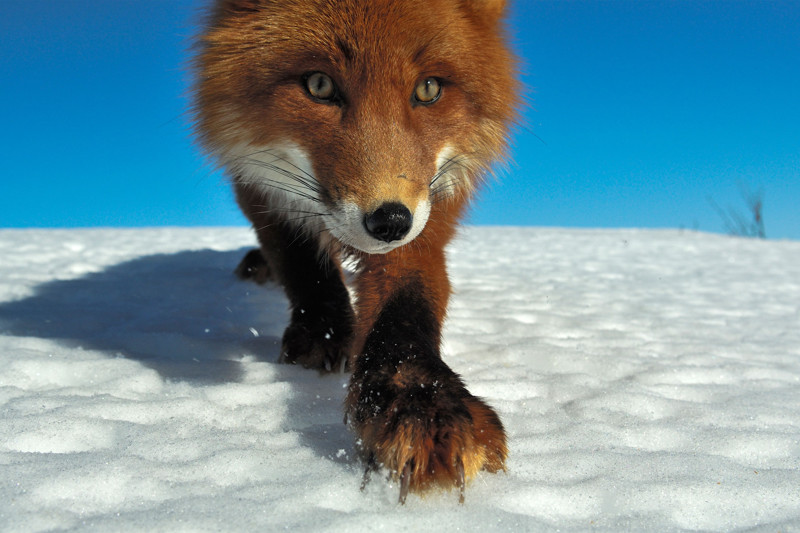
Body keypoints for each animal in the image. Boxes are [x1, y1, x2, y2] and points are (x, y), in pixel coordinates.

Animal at [194, 0, 520, 500]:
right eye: (319, 84)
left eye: (428, 89)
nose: (389, 221)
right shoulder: (258, 186)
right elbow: (300, 263)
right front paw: (324, 332)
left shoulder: (429, 210)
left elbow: (407, 305)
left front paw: (419, 398)